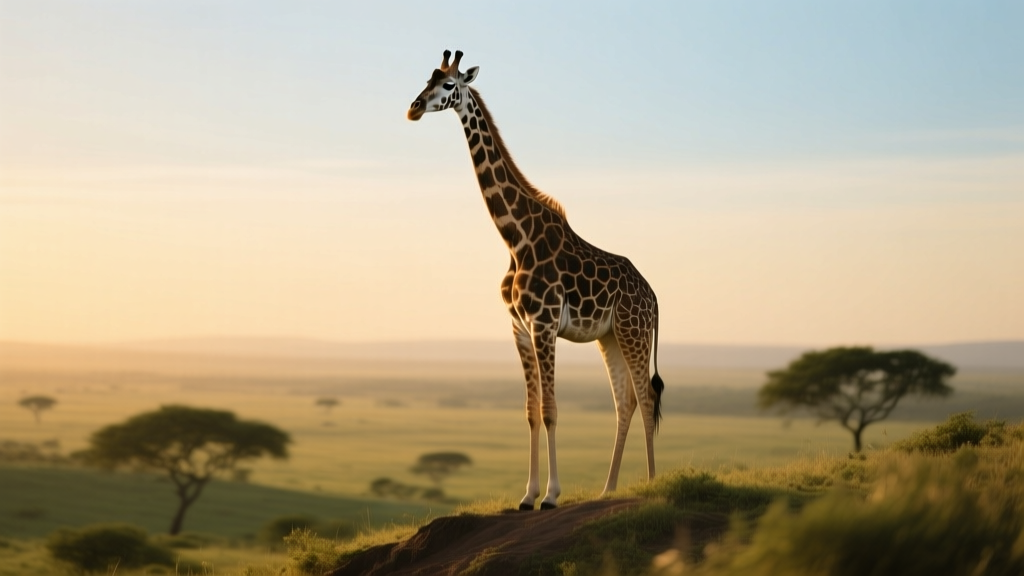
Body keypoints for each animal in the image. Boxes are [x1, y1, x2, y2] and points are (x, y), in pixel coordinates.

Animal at [408, 50, 664, 510]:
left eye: (449, 85)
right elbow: (530, 411)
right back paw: (608, 489)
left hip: (633, 333)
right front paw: (527, 495)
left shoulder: (543, 324)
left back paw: (650, 483)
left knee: (647, 397)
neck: (514, 236)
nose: (414, 108)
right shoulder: (519, 328)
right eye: (427, 79)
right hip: (610, 336)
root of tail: (654, 297)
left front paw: (550, 496)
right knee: (626, 402)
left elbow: (550, 410)